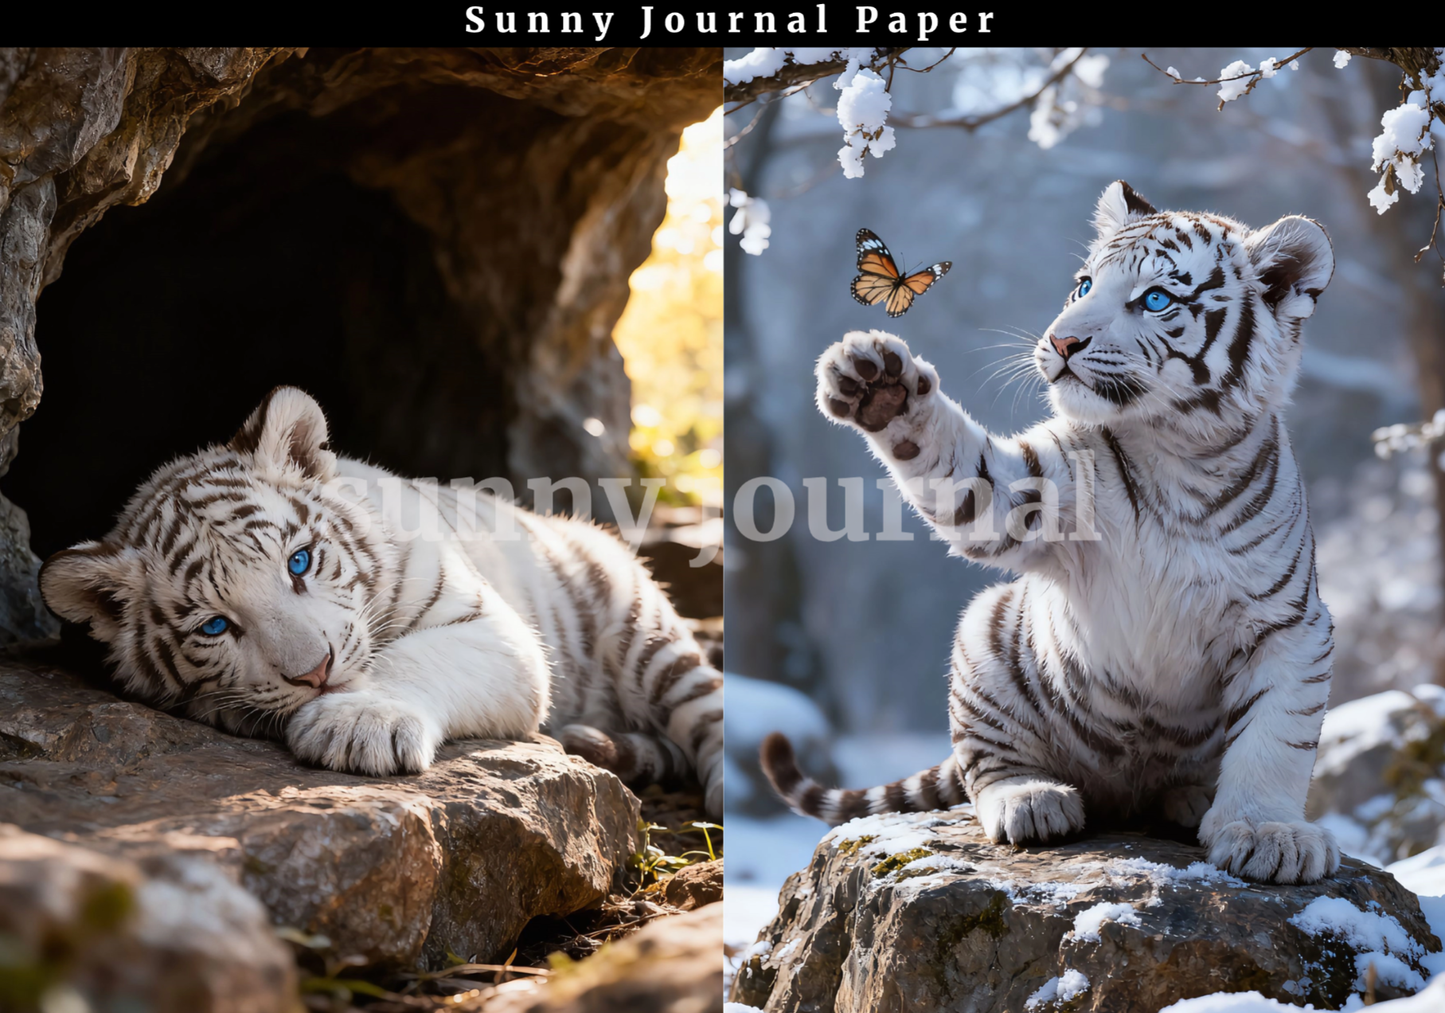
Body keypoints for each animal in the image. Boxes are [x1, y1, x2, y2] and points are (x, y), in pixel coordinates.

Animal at [38, 387, 723, 818]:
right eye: (214, 626)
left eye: (299, 562)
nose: (315, 672)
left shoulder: (495, 629)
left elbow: (415, 658)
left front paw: (356, 724)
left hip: (648, 639)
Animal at [763, 180, 1341, 883]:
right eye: (1083, 285)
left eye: (1155, 299)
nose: (1061, 342)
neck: (1180, 453)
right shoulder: (1023, 495)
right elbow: (959, 466)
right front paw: (878, 383)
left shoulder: (1289, 626)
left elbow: (1276, 738)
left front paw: (1266, 833)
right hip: (984, 635)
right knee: (988, 767)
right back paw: (1033, 801)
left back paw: (1192, 799)